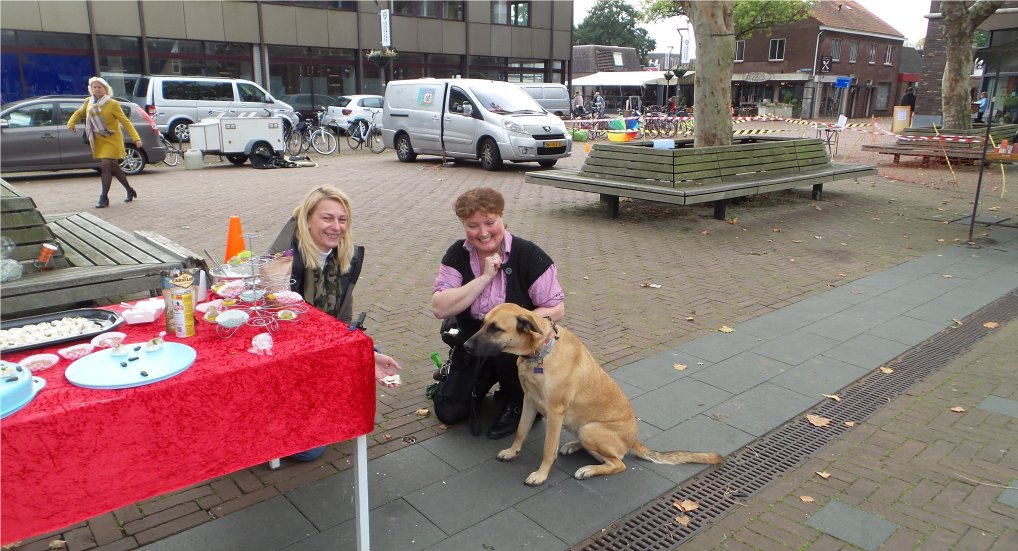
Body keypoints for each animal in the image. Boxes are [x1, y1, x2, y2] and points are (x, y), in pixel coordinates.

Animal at [464, 301, 724, 484]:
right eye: (482, 324)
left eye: (495, 329)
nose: (465, 346)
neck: (540, 352)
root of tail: (634, 440)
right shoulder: (529, 400)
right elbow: (520, 431)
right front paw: (512, 452)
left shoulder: (555, 412)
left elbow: (548, 449)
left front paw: (541, 474)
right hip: (582, 428)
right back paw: (573, 446)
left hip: (591, 430)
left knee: (618, 464)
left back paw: (588, 470)